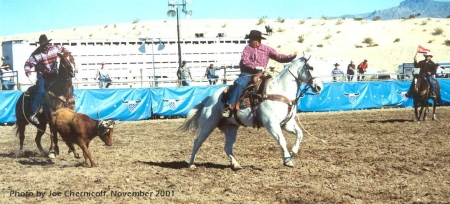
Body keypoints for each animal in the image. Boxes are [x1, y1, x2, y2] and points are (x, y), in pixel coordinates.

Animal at [179, 53, 324, 170]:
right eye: (311, 67)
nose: (319, 87)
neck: (279, 90)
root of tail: (209, 99)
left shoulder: (286, 123)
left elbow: (300, 134)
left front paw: (293, 151)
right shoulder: (271, 124)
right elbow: (282, 140)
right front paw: (288, 160)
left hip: (231, 128)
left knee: (227, 147)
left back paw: (236, 165)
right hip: (208, 125)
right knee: (197, 142)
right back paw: (191, 164)